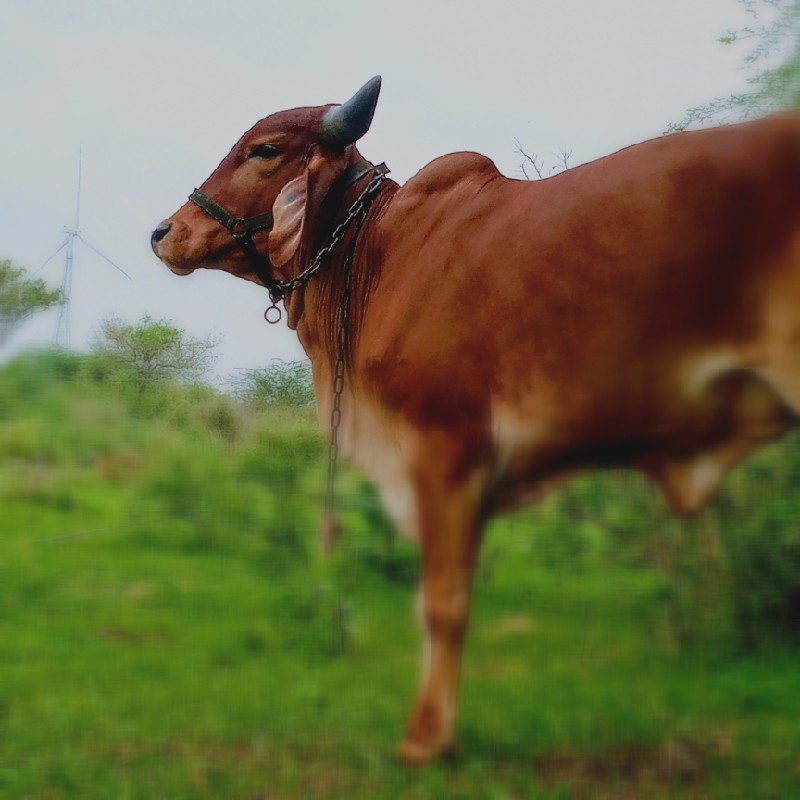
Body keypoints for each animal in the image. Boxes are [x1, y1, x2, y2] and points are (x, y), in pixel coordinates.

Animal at [150, 78, 800, 764]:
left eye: (264, 150)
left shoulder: (444, 448)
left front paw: (426, 739)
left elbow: (442, 603)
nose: (165, 232)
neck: (379, 251)